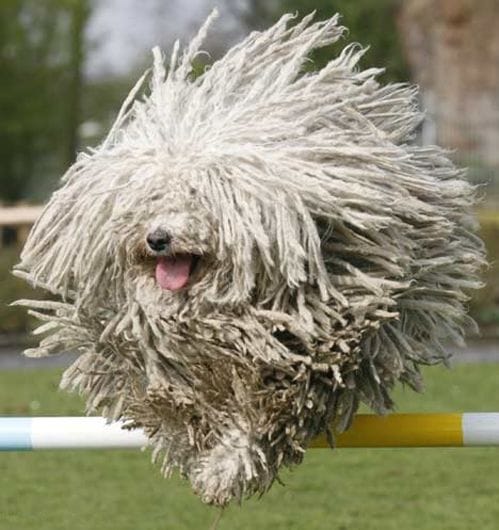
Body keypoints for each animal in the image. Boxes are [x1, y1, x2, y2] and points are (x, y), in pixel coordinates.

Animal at [14, 9, 484, 504]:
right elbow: (169, 398)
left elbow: (268, 410)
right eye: (147, 198)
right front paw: (191, 440)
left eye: (198, 196)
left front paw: (228, 466)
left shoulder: (314, 342)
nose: (157, 238)